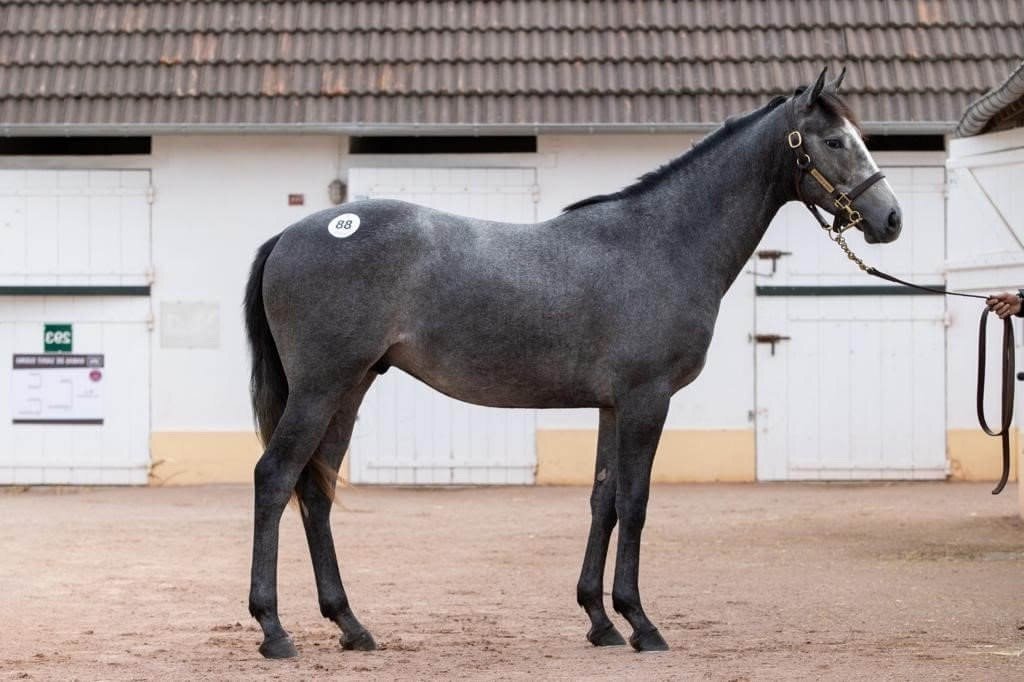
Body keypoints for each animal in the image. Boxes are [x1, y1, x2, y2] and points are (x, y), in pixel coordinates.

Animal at [242, 68, 902, 658]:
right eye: (835, 141)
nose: (891, 219)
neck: (662, 243)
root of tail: (290, 234)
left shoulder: (613, 405)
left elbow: (603, 502)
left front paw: (600, 621)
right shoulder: (646, 400)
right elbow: (635, 504)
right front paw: (641, 624)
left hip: (349, 389)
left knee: (316, 488)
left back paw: (351, 626)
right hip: (320, 388)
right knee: (275, 478)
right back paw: (274, 631)